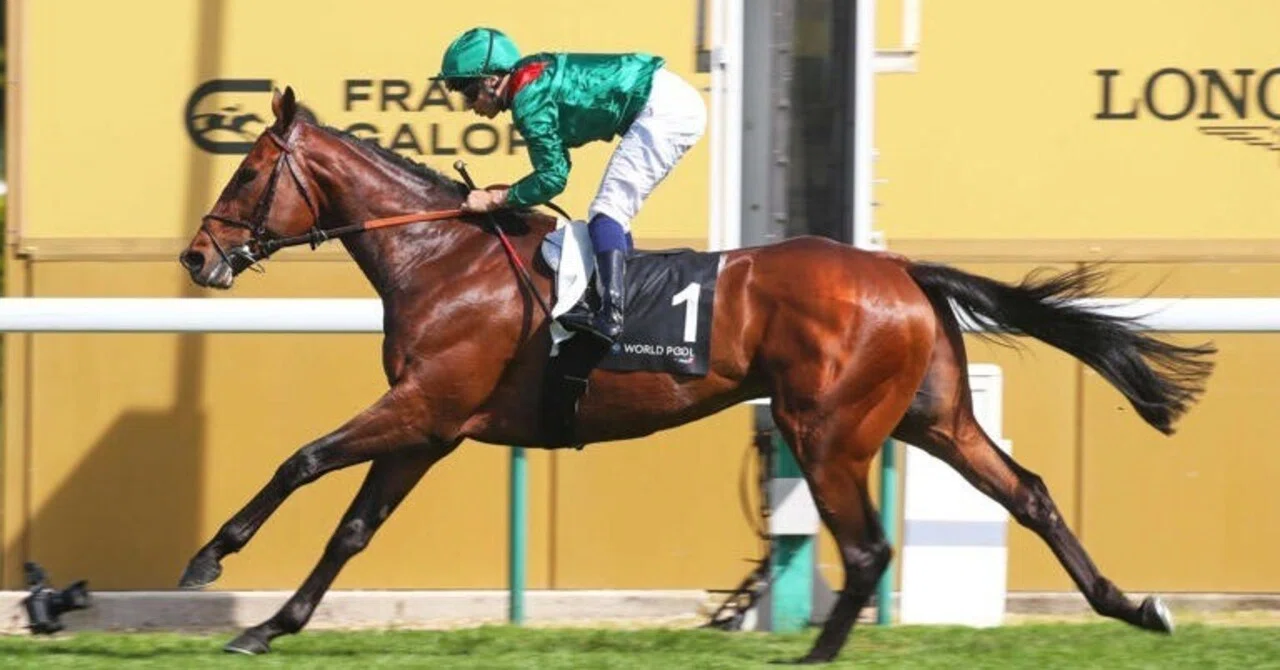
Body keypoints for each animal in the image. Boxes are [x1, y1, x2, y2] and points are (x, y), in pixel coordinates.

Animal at [177, 87, 1214, 662]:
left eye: (245, 175)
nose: (197, 257)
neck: (443, 257)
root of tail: (901, 270)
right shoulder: (431, 425)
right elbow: (352, 527)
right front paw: (269, 625)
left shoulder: (422, 402)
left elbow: (304, 460)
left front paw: (208, 559)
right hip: (931, 417)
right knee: (1028, 491)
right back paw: (1133, 607)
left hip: (826, 430)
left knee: (868, 548)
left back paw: (815, 659)